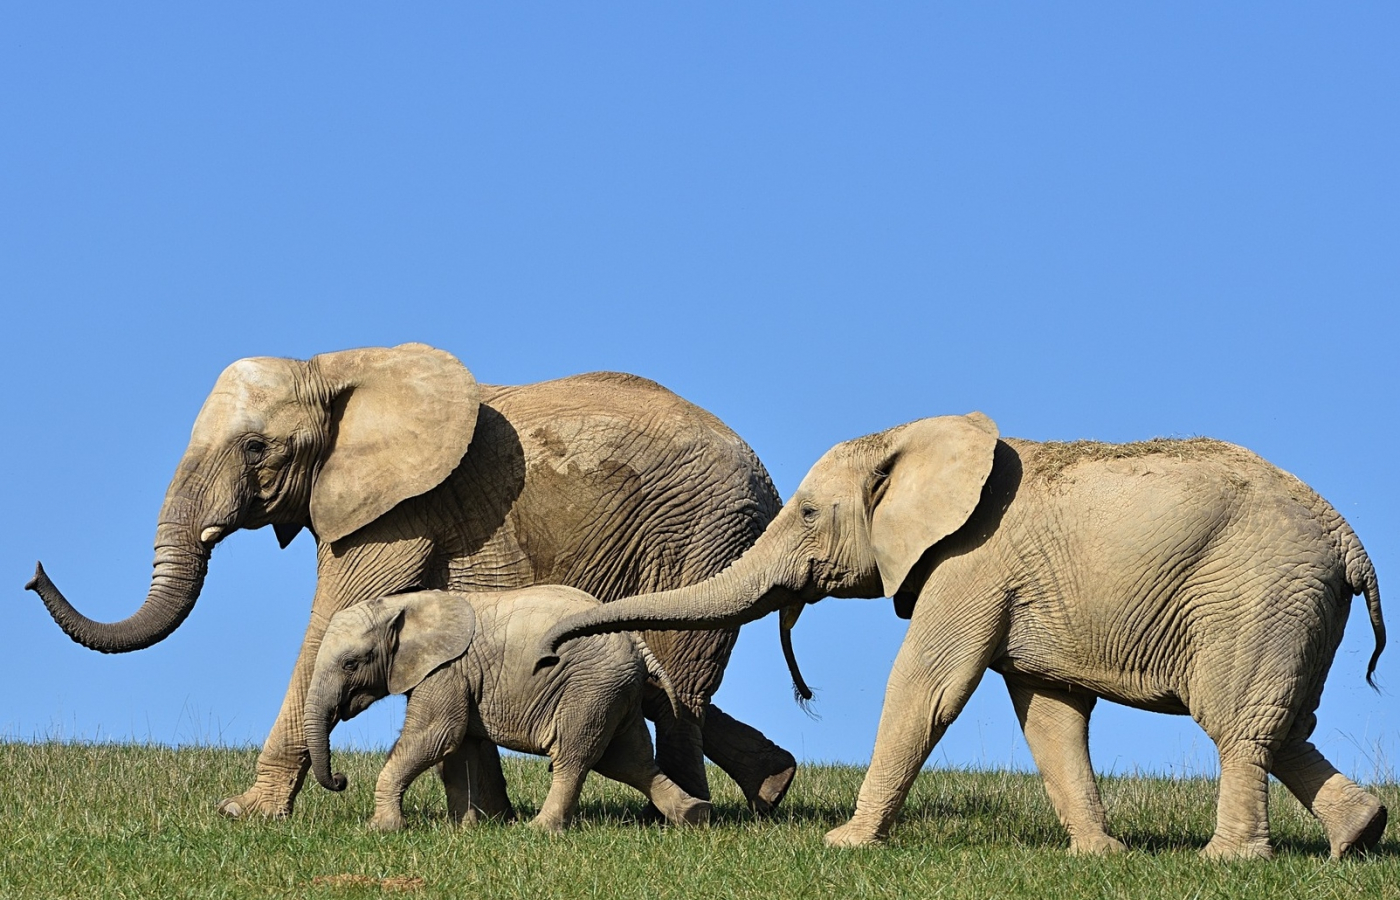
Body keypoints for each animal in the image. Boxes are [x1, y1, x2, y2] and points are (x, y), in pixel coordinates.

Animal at [303, 587, 711, 834]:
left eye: (351, 664)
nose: (340, 779)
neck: (406, 605)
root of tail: (637, 643)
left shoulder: (447, 670)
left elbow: (436, 737)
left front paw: (381, 828)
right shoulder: (458, 675)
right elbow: (459, 748)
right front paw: (465, 830)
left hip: (591, 686)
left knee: (574, 756)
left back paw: (540, 830)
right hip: (615, 691)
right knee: (630, 760)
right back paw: (694, 816)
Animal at [540, 414, 1383, 856]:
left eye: (808, 513)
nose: (551, 646)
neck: (913, 437)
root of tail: (1350, 543)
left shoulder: (971, 565)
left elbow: (929, 685)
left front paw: (845, 845)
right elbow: (1049, 712)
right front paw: (1098, 856)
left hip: (1258, 595)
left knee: (1236, 720)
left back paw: (1228, 860)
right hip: (1292, 604)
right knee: (1280, 724)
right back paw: (1359, 836)